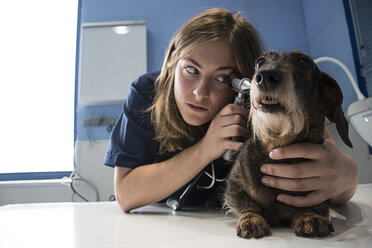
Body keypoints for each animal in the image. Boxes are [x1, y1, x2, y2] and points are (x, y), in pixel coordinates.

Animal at [222, 50, 354, 238]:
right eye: (260, 62)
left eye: (303, 62)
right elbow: (245, 203)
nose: (265, 76)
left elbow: (316, 204)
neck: (277, 142)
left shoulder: (321, 189)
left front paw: (309, 216)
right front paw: (251, 219)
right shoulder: (234, 186)